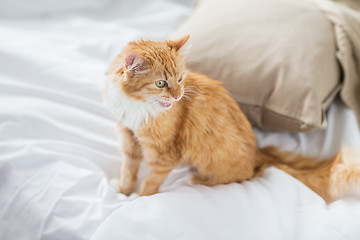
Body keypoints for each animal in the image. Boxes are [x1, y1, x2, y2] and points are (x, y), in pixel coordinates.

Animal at [104, 34, 360, 202]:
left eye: (180, 79)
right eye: (160, 83)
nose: (177, 96)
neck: (137, 107)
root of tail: (258, 152)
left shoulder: (164, 155)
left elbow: (150, 182)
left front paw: (137, 199)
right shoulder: (128, 139)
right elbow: (128, 171)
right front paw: (123, 191)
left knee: (236, 177)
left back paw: (197, 180)